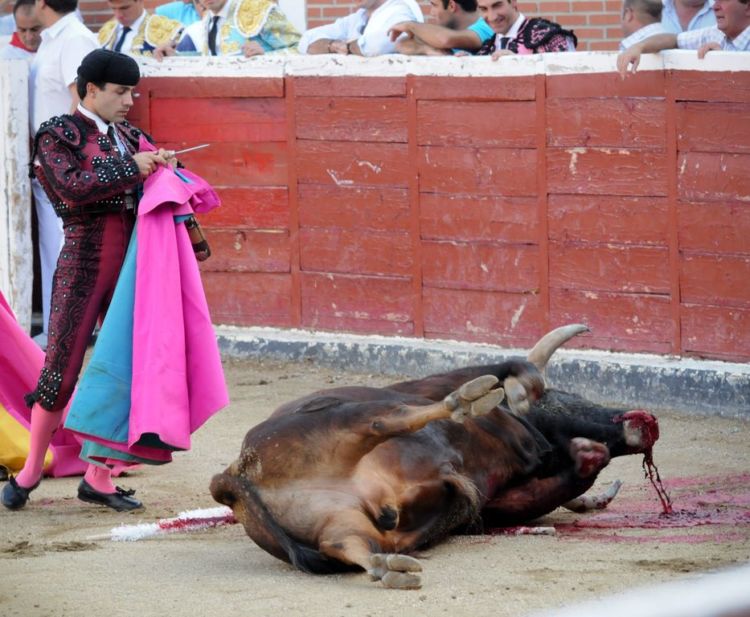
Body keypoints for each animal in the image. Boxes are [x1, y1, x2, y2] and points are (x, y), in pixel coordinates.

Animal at [210, 322, 656, 588]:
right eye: (560, 396)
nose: (643, 423)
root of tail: (231, 478)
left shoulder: (493, 502)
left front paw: (587, 460)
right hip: (346, 420)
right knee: (385, 421)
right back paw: (467, 397)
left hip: (344, 524)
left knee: (347, 544)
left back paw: (389, 569)